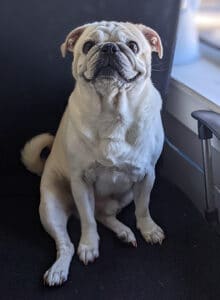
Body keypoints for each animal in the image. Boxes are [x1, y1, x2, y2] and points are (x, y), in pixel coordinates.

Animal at [21, 21, 165, 286]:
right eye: (88, 46)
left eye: (133, 46)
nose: (109, 47)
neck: (112, 110)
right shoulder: (81, 181)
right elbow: (87, 220)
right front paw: (89, 246)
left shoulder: (147, 176)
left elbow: (143, 208)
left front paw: (148, 229)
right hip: (50, 207)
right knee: (68, 240)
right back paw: (59, 269)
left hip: (124, 196)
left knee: (104, 215)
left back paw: (124, 232)